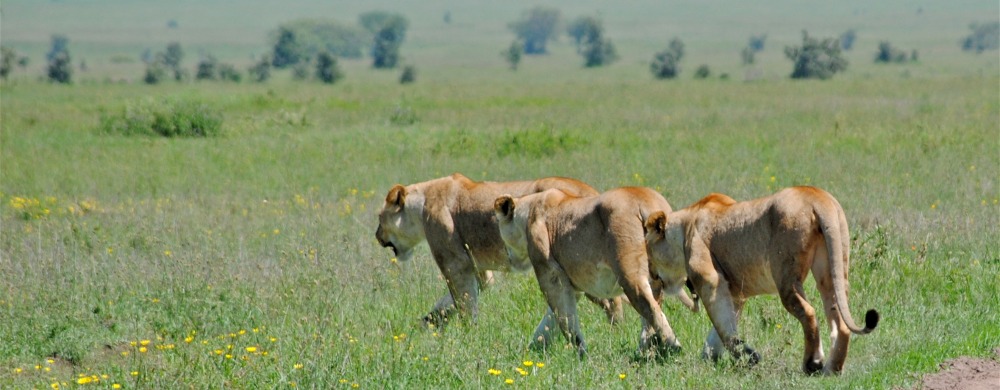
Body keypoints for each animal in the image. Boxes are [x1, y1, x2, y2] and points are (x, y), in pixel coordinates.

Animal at [376, 173, 624, 326]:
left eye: (379, 217)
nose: (377, 237)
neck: (421, 205)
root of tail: (592, 192)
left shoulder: (455, 263)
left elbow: (463, 302)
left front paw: (468, 333)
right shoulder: (476, 267)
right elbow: (454, 301)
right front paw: (427, 323)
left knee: (613, 301)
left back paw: (615, 332)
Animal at [492, 187, 696, 356]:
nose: (508, 256)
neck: (528, 212)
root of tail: (645, 201)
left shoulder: (551, 275)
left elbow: (564, 319)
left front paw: (580, 352)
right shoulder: (570, 285)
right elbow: (549, 322)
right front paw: (531, 351)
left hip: (630, 274)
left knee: (650, 308)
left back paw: (672, 345)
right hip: (657, 275)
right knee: (652, 309)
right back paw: (645, 349)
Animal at [644, 187, 880, 376]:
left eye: (648, 253)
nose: (651, 275)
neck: (684, 226)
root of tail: (816, 196)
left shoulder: (711, 281)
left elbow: (724, 329)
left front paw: (748, 357)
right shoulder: (734, 293)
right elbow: (721, 330)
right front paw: (710, 357)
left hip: (786, 276)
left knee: (809, 312)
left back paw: (812, 363)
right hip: (832, 269)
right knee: (840, 321)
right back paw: (832, 369)